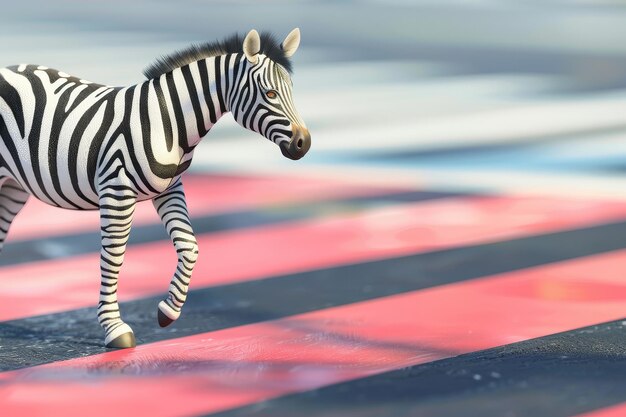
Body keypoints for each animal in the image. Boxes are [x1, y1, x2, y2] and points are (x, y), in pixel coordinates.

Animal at [0, 28, 310, 348]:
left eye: (291, 91)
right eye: (270, 94)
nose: (304, 144)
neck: (168, 122)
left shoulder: (170, 189)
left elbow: (189, 246)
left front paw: (168, 312)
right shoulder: (117, 189)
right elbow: (114, 257)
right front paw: (115, 328)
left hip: (13, 187)